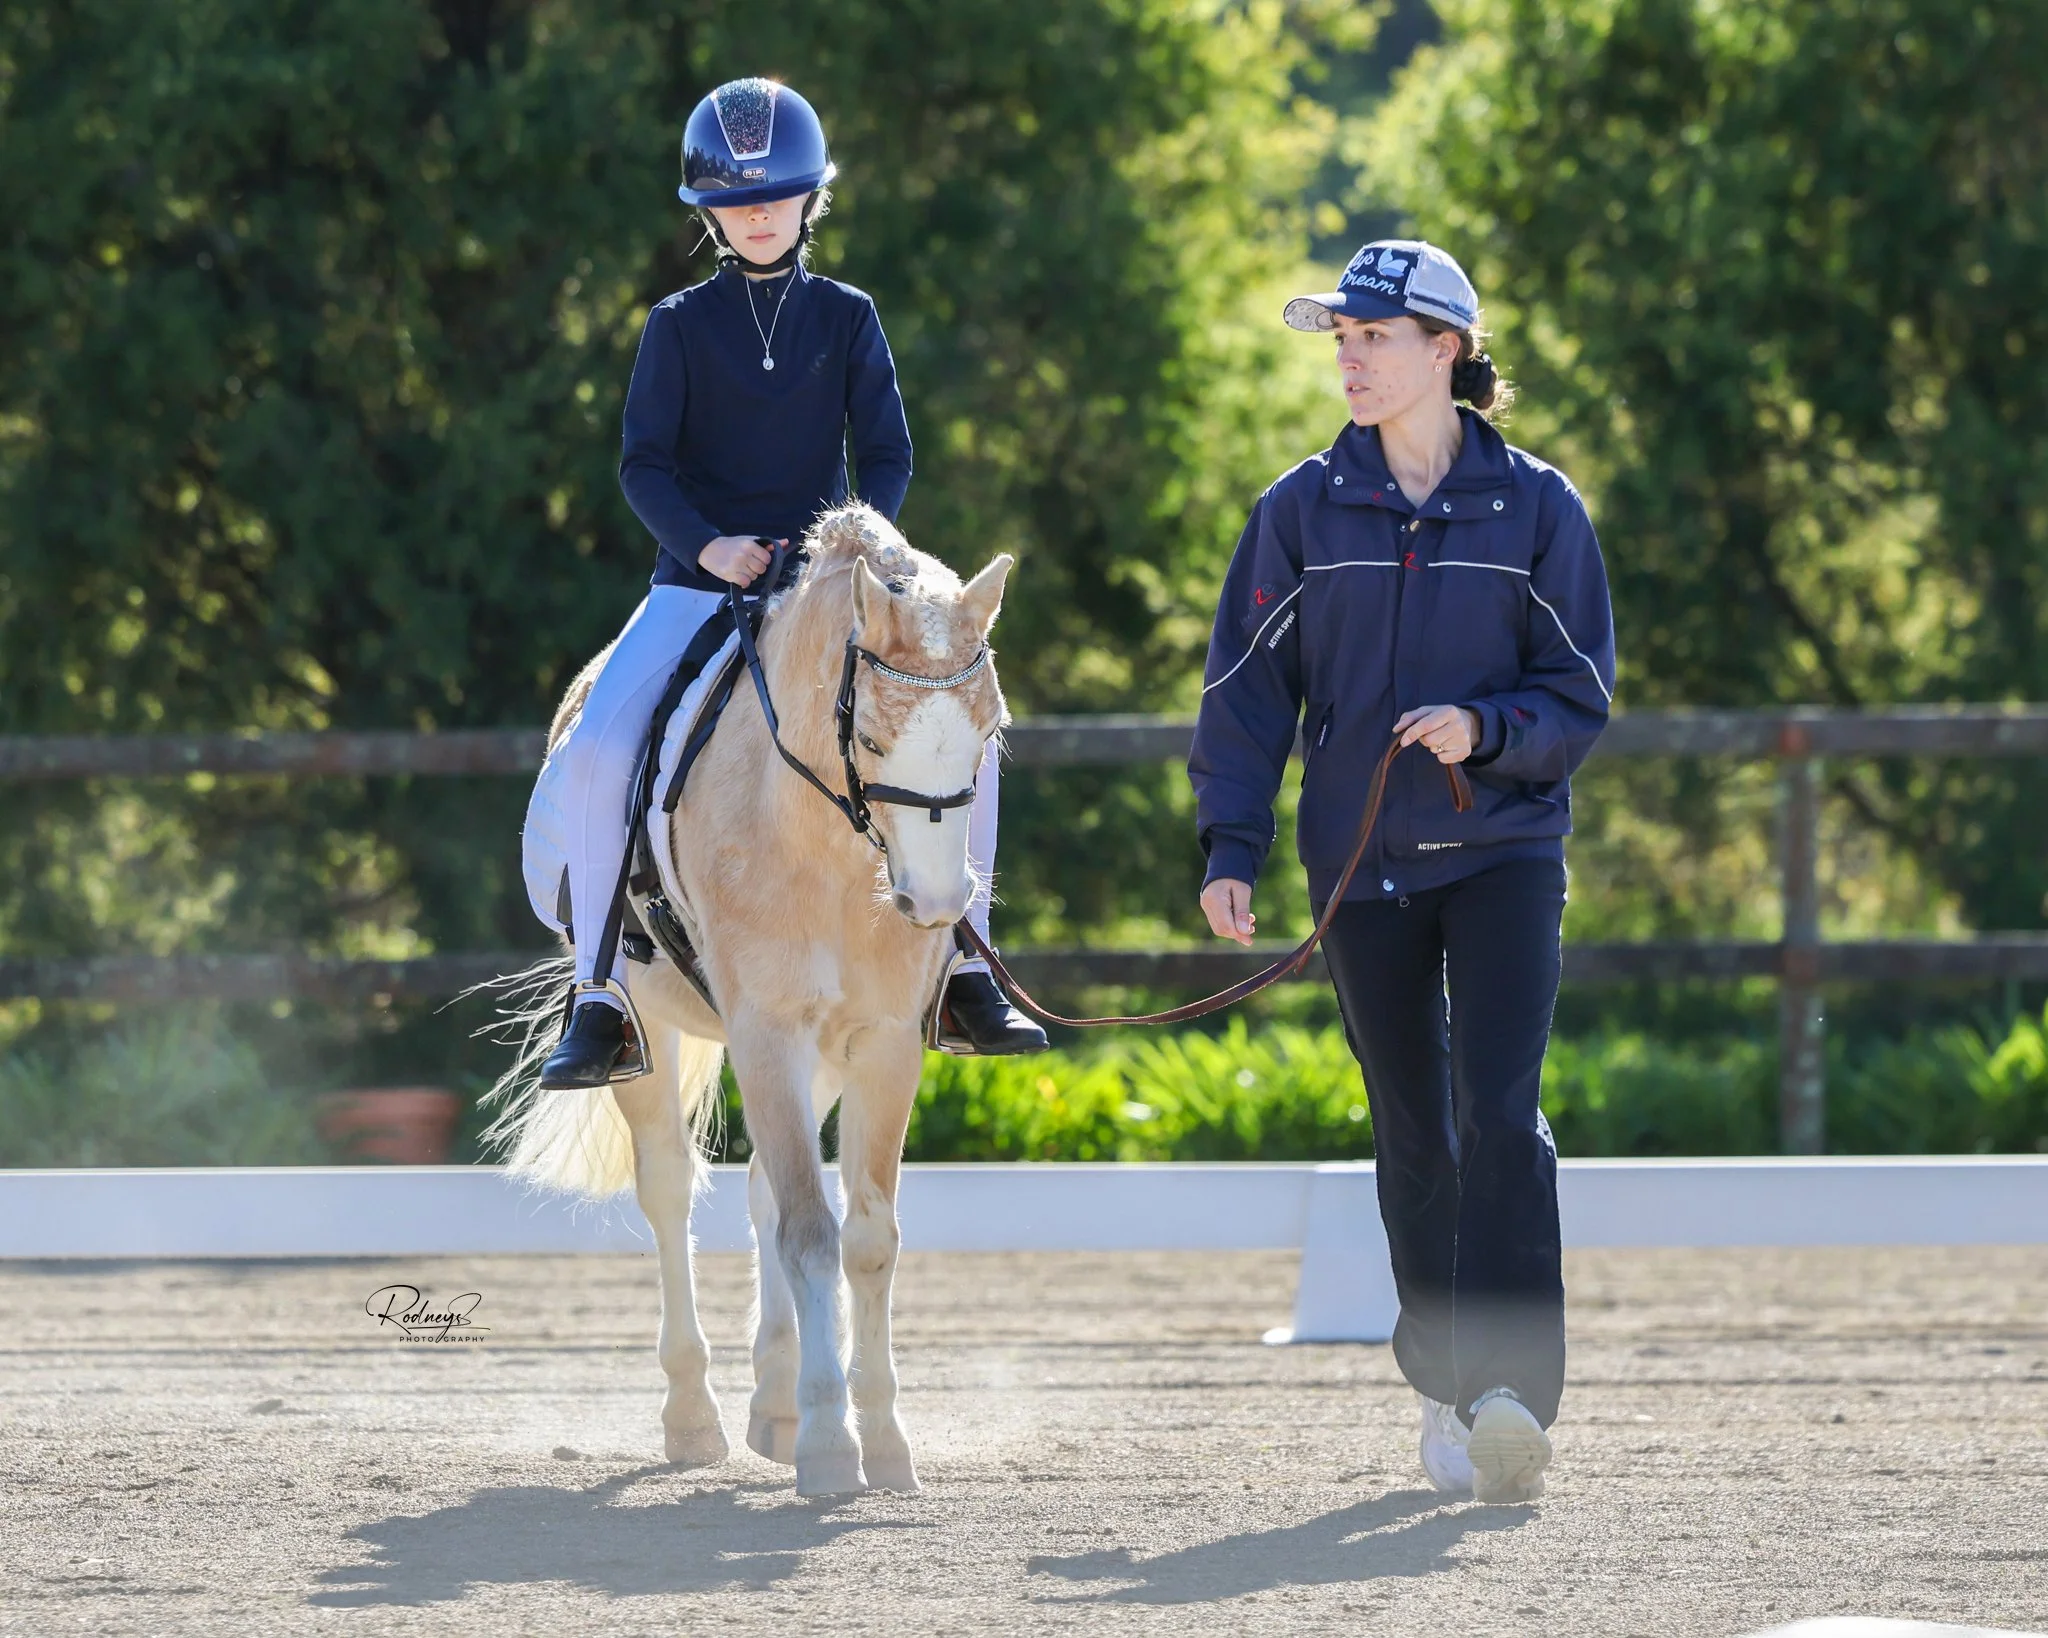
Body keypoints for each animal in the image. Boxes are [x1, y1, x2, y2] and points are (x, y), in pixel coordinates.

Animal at [486, 502, 1012, 1497]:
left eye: (990, 736)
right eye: (872, 739)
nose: (934, 905)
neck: (831, 843)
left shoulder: (883, 1043)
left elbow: (866, 1235)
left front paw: (881, 1440)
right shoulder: (767, 1035)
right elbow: (810, 1233)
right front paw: (832, 1445)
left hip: (820, 1054)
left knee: (767, 1188)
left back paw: (774, 1403)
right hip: (653, 1030)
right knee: (670, 1190)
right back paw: (695, 1419)